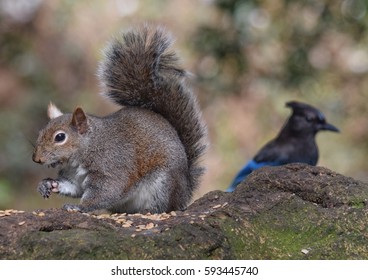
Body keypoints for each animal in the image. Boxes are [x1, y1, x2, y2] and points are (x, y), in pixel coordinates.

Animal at [32, 26, 207, 214]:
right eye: (41, 132)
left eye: (60, 137)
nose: (36, 159)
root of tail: (185, 190)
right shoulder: (74, 178)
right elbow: (73, 187)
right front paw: (47, 184)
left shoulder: (113, 167)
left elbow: (107, 191)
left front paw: (79, 207)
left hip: (163, 184)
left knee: (165, 207)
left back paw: (149, 211)